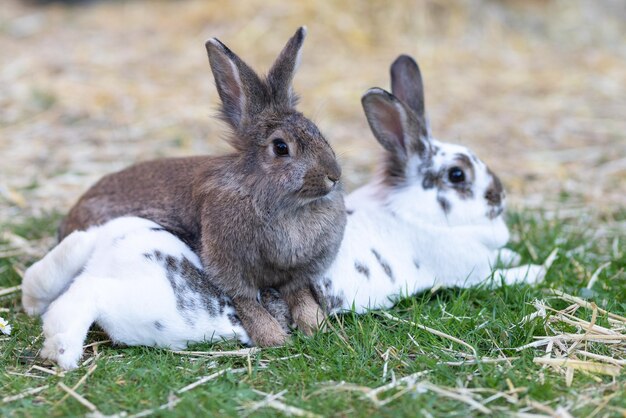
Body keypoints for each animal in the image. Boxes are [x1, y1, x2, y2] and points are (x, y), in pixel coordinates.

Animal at [57, 27, 346, 346]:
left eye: (320, 133)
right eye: (281, 147)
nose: (334, 175)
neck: (285, 204)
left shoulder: (300, 272)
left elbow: (300, 294)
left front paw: (317, 327)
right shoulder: (226, 263)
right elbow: (246, 300)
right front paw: (273, 338)